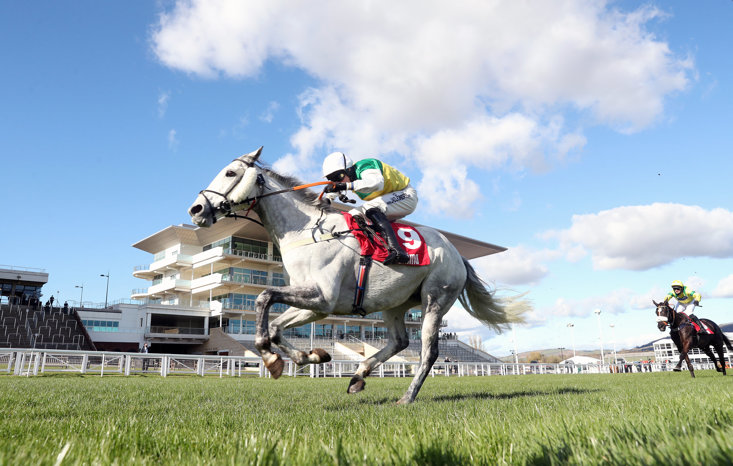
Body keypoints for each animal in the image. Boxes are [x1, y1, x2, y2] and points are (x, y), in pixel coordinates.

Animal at [186, 147, 524, 402]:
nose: (196, 209)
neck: (308, 231)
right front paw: (310, 357)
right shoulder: (315, 305)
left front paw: (272, 359)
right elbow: (275, 326)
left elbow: (264, 298)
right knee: (400, 342)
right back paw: (359, 375)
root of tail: (457, 254)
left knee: (428, 352)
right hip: (395, 304)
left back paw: (407, 396)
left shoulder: (322, 299)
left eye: (230, 173)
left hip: (435, 299)